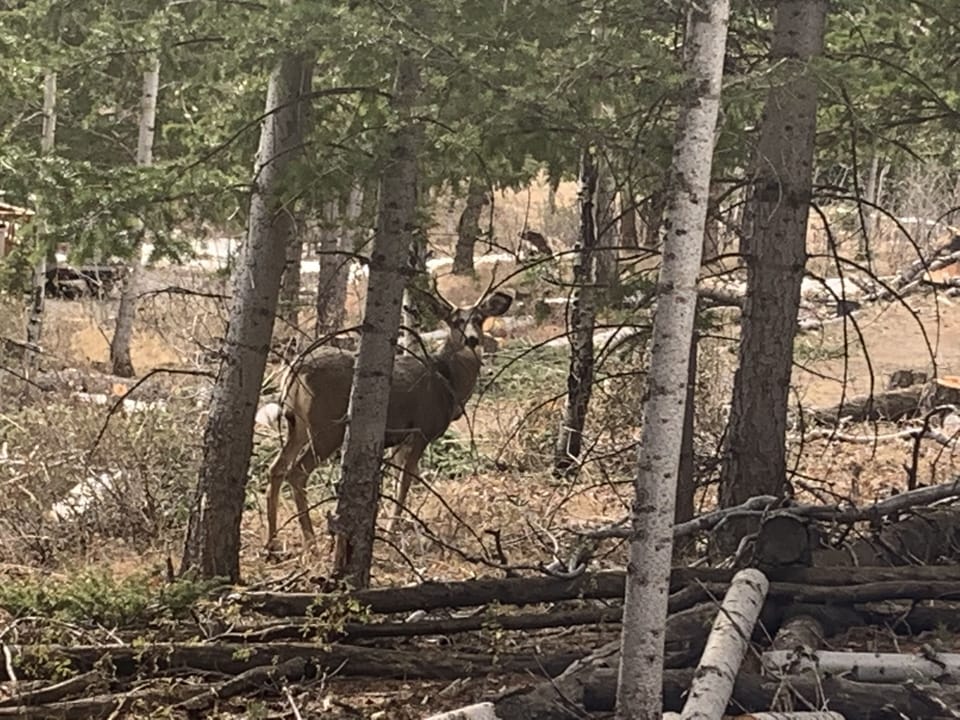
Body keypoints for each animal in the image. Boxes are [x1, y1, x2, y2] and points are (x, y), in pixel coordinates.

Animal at [265, 287, 513, 550]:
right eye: (455, 322)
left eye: (479, 319)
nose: (472, 340)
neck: (448, 382)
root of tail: (295, 368)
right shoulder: (421, 429)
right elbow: (406, 481)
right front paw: (394, 529)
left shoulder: (400, 439)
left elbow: (398, 481)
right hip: (327, 426)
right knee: (296, 472)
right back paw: (310, 539)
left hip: (298, 425)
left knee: (276, 468)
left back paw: (272, 540)